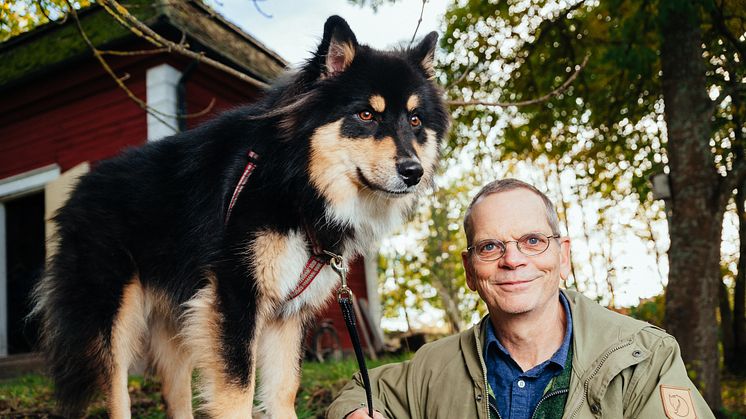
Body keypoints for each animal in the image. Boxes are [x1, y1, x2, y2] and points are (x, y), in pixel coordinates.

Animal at [29, 14, 448, 418]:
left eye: (415, 121)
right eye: (365, 114)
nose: (413, 172)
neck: (295, 184)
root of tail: (78, 191)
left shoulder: (285, 316)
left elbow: (283, 391)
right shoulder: (234, 298)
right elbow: (237, 394)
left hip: (176, 323)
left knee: (176, 394)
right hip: (115, 316)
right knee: (118, 391)